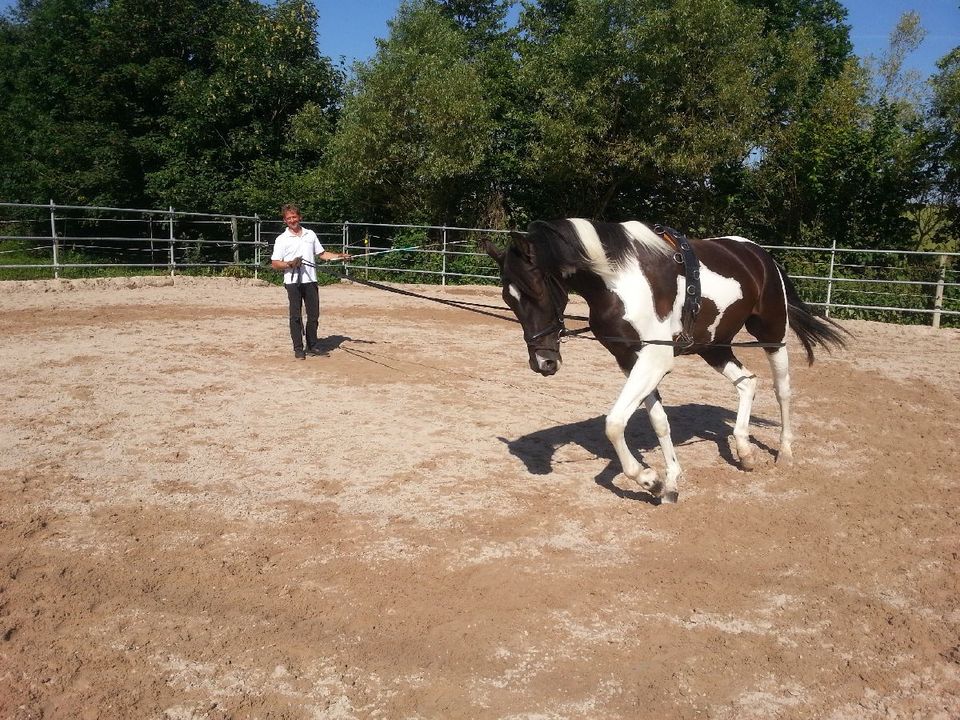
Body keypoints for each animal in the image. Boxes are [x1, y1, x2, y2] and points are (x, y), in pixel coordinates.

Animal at [484, 217, 844, 504]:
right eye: (508, 298)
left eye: (536, 289)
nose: (543, 362)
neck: (618, 279)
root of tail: (760, 255)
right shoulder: (630, 358)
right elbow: (659, 420)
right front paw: (669, 482)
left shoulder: (654, 358)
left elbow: (614, 423)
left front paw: (649, 479)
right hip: (714, 346)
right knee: (747, 383)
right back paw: (743, 451)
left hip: (772, 334)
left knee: (782, 390)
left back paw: (784, 451)